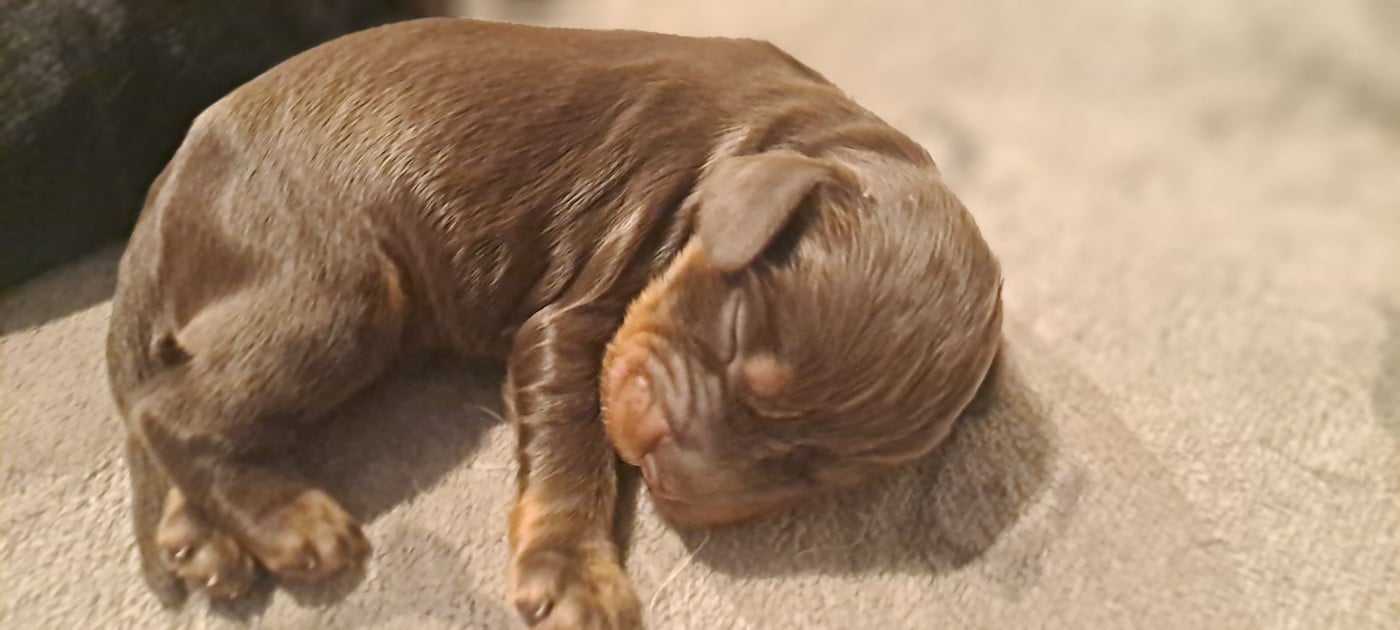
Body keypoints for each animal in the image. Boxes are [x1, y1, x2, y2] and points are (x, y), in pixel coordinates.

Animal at [106, 17, 1003, 629]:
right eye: (738, 334)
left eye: (809, 467)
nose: (664, 467)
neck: (783, 137)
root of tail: (172, 175)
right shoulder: (572, 321)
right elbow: (574, 448)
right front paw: (576, 577)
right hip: (338, 287)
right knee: (173, 405)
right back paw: (289, 521)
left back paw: (202, 535)